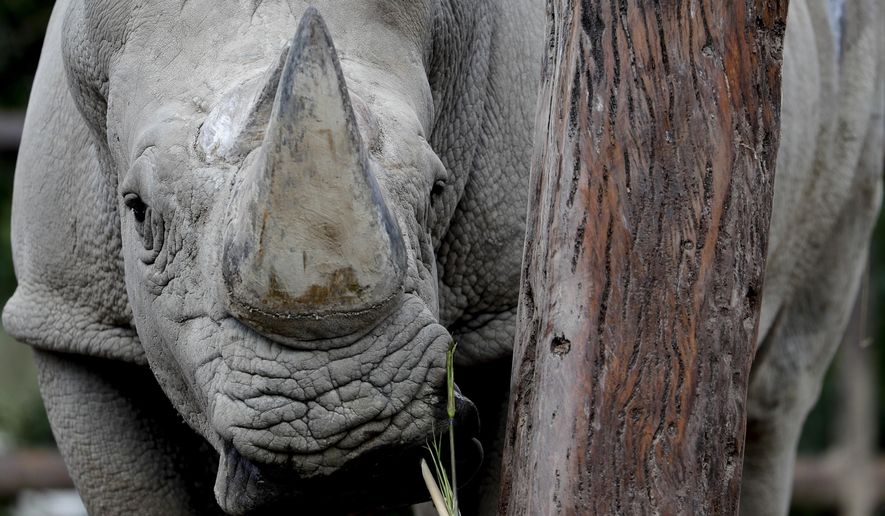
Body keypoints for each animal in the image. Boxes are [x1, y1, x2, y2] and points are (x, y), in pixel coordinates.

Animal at [2, 0, 883, 514]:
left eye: (436, 191)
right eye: (138, 215)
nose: (347, 436)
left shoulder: (499, 312)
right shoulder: (69, 315)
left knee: (779, 389)